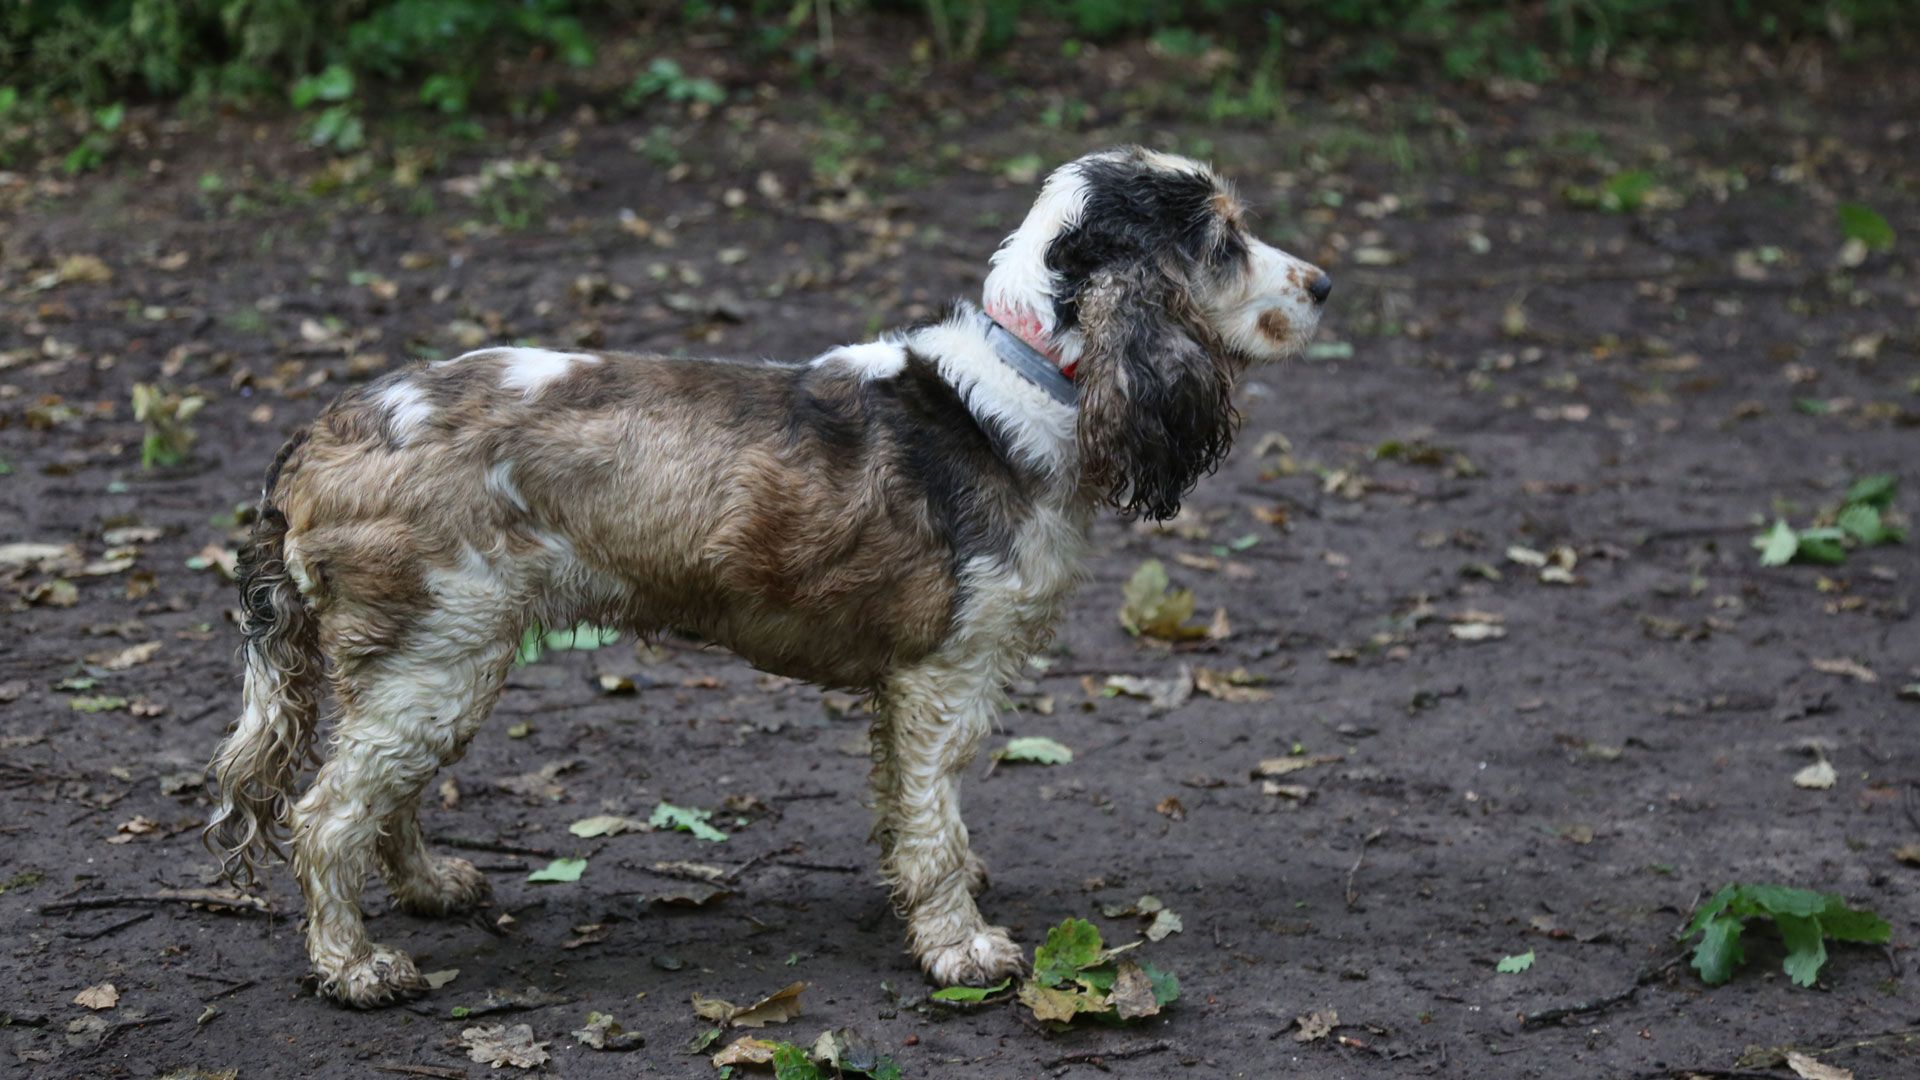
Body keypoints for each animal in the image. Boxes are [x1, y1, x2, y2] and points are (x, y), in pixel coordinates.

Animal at [206, 147, 1320, 1006]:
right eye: (1224, 241)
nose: (1324, 286)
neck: (1026, 380)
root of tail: (320, 436)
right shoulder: (945, 677)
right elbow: (936, 826)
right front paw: (962, 948)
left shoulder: (902, 693)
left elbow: (908, 814)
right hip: (435, 658)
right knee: (326, 817)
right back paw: (357, 968)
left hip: (435, 666)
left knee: (383, 797)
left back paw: (433, 886)